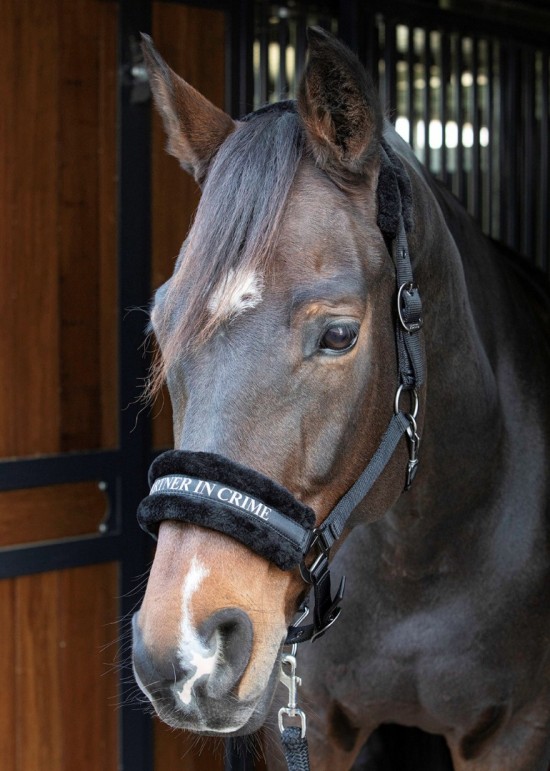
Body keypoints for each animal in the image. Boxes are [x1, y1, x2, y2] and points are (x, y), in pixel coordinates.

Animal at [132, 27, 550, 771]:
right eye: (161, 322)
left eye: (338, 334)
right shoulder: (313, 727)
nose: (185, 656)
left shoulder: (516, 732)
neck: (425, 556)